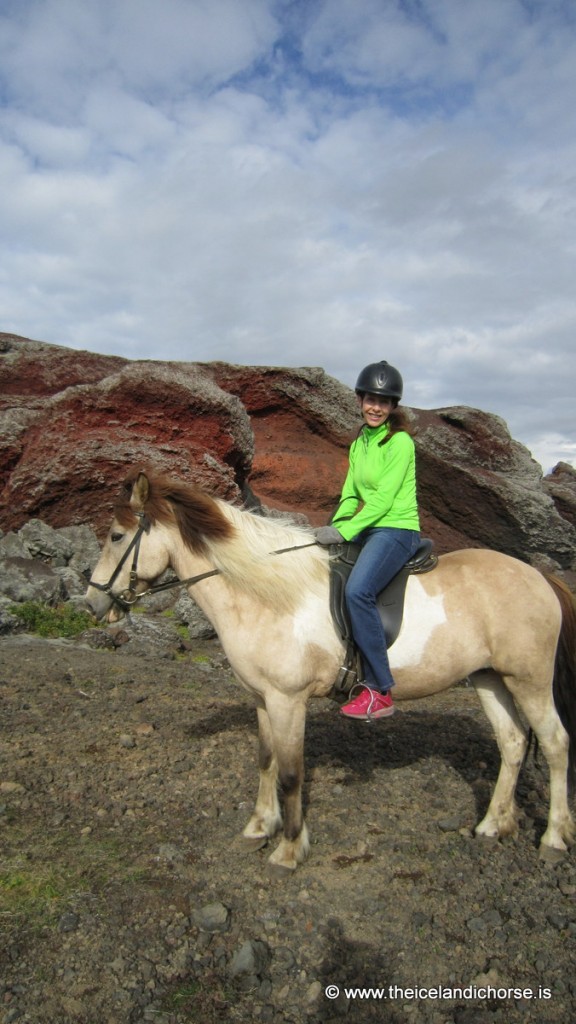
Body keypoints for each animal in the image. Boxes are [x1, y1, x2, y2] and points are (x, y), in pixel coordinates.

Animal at [85, 468, 573, 876]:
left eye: (116, 535)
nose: (91, 603)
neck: (268, 594)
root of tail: (539, 577)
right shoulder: (262, 699)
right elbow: (265, 762)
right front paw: (259, 827)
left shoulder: (288, 700)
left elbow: (290, 774)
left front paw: (288, 849)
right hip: (491, 678)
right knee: (512, 743)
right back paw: (493, 825)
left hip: (529, 681)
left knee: (554, 744)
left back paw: (552, 838)